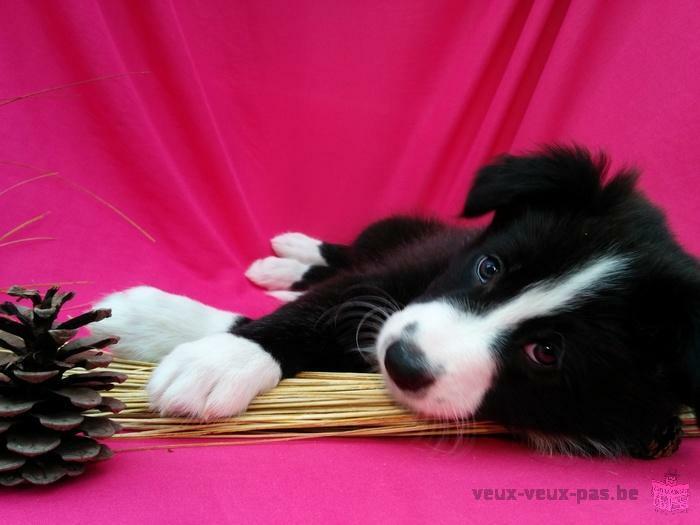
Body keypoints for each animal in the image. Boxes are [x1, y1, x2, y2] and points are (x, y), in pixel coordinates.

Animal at [94, 145, 700, 456]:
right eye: (489, 267)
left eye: (547, 353)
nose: (400, 360)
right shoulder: (413, 267)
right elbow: (313, 313)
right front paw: (202, 345)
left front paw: (211, 353)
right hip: (399, 232)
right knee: (345, 255)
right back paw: (290, 257)